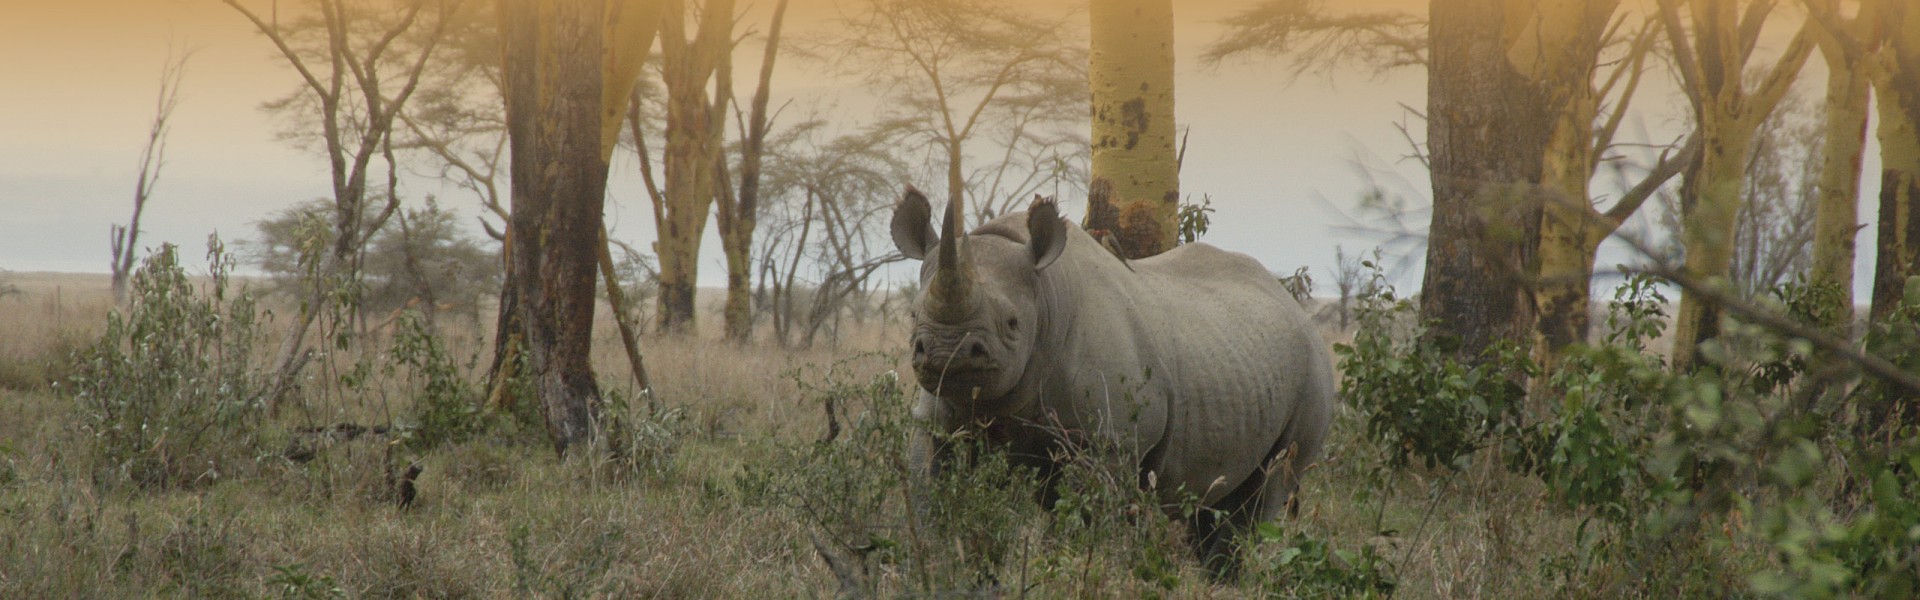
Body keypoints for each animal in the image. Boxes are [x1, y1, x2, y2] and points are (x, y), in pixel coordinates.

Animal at [887, 188, 1328, 573]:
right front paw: (940, 565)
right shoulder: (938, 420)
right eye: (912, 314)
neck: (1045, 297)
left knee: (1269, 486)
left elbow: (1080, 519)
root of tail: (1295, 305)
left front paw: (1065, 569)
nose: (947, 353)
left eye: (1012, 323)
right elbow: (931, 495)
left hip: (1313, 371)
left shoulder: (1107, 442)